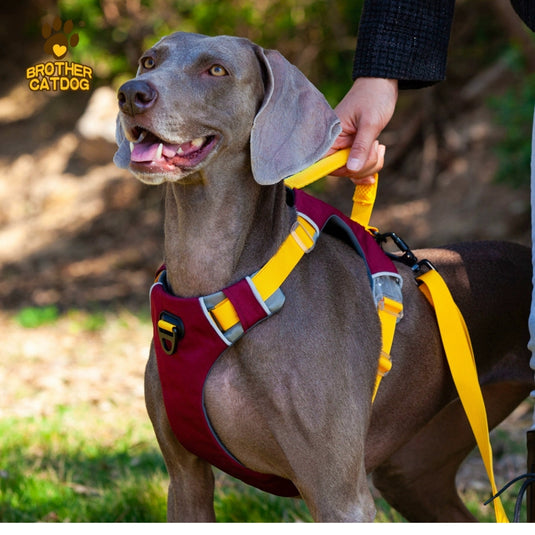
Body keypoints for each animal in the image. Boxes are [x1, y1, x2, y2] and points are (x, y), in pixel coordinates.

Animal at [114, 31, 535, 520]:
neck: (221, 285)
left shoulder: (339, 495)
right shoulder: (185, 478)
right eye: (148, 61)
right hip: (414, 469)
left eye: (216, 70)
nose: (131, 94)